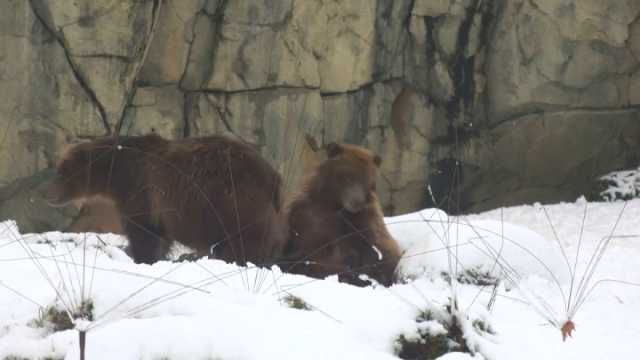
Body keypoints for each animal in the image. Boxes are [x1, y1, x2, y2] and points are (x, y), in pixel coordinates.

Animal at [49, 134, 288, 266]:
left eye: (61, 172)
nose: (50, 196)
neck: (114, 172)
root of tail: (273, 177)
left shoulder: (140, 189)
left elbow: (144, 232)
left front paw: (142, 258)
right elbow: (159, 236)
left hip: (235, 201)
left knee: (245, 241)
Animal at [282, 142, 400, 286]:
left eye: (366, 180)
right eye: (348, 176)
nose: (357, 201)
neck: (335, 204)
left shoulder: (364, 220)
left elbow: (380, 247)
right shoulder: (305, 214)